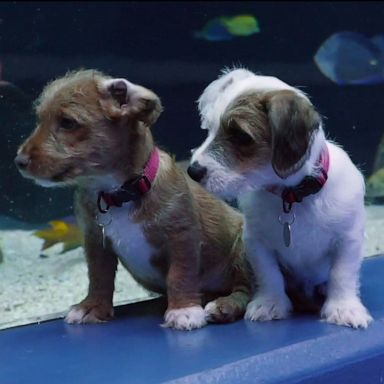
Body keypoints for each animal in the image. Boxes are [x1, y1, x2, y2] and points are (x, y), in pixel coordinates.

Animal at [15, 69, 250, 330]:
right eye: (39, 119)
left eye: (67, 122)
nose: (19, 161)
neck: (118, 193)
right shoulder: (96, 242)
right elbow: (99, 277)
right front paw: (92, 307)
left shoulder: (183, 236)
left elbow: (180, 274)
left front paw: (184, 310)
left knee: (247, 289)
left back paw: (225, 305)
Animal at [188, 67, 374, 328]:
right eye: (209, 129)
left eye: (241, 136)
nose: (192, 171)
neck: (292, 197)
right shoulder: (256, 243)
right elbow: (269, 275)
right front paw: (270, 302)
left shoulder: (348, 239)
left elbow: (342, 275)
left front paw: (343, 307)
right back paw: (223, 306)